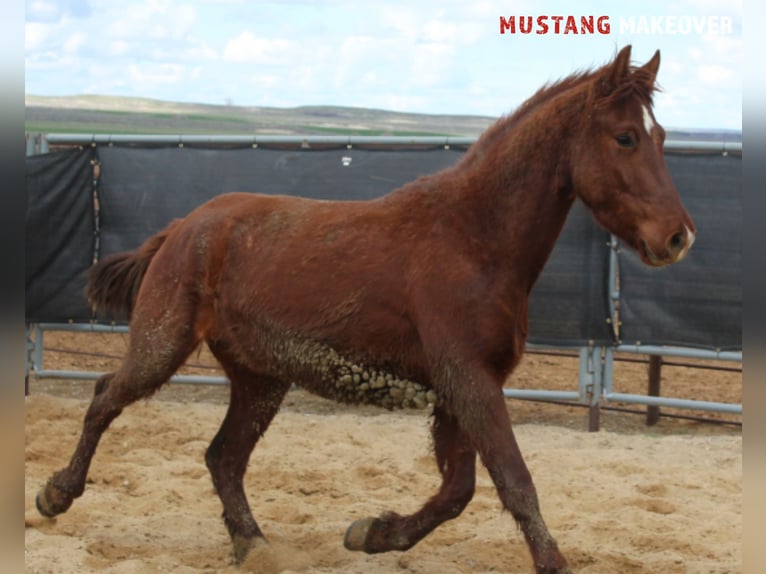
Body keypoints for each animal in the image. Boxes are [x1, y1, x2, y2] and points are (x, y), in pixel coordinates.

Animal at [36, 46, 696, 574]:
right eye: (626, 136)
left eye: (663, 137)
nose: (678, 237)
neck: (473, 238)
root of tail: (182, 227)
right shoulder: (470, 382)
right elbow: (513, 480)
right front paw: (550, 561)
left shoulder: (457, 391)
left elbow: (458, 489)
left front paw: (373, 533)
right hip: (162, 344)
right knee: (105, 397)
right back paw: (55, 495)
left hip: (259, 378)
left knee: (223, 457)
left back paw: (253, 545)